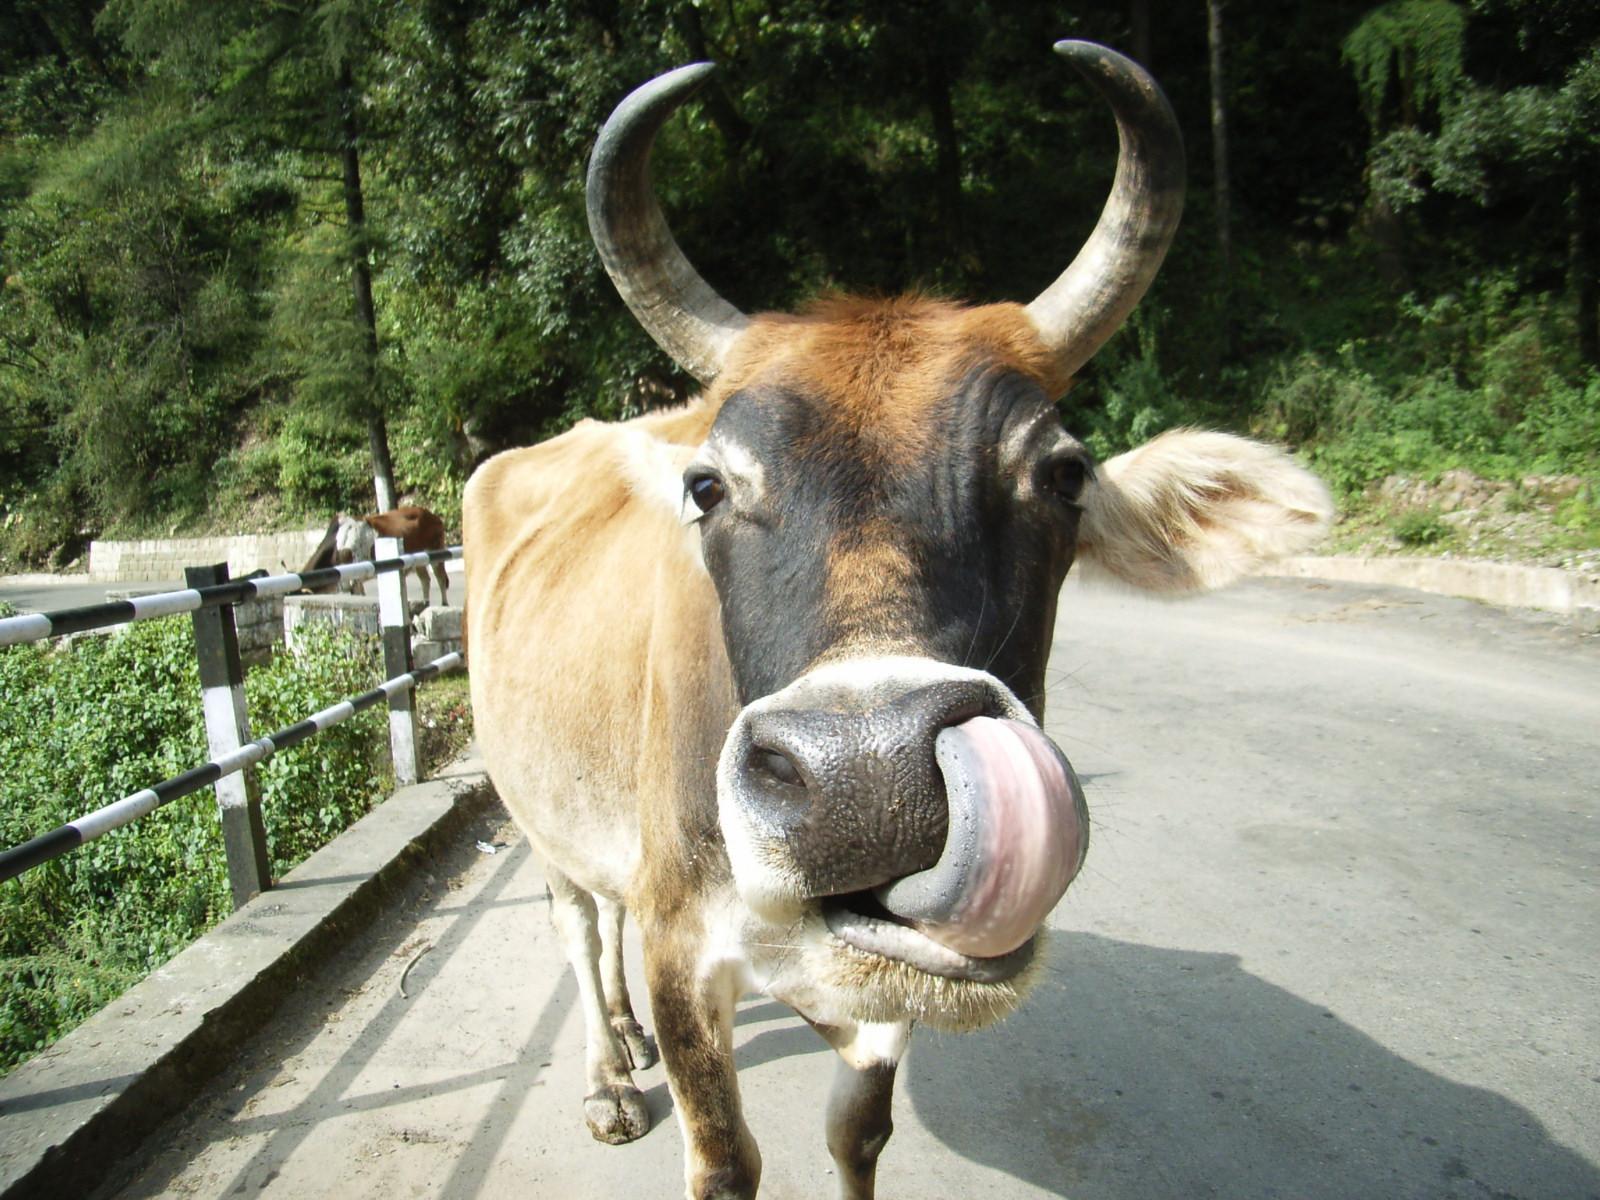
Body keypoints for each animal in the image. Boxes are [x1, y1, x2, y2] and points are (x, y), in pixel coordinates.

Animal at [301, 505, 451, 607]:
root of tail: (432, 515)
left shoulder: (355, 580)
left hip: (436, 553)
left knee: (441, 579)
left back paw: (444, 604)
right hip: (419, 562)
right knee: (426, 580)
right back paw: (426, 603)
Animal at [464, 42, 1332, 1200]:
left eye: (1063, 474)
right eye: (707, 485)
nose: (866, 781)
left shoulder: (880, 989)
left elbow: (857, 1133)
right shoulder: (677, 941)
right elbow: (724, 1157)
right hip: (533, 804)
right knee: (576, 922)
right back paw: (610, 1073)